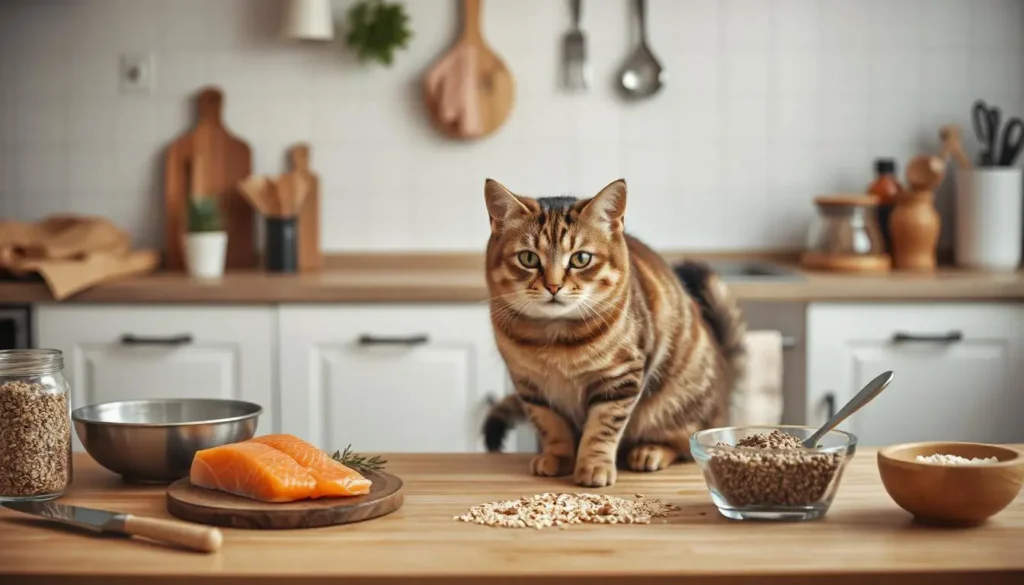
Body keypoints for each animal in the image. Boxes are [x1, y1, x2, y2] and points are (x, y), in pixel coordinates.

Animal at [479, 179, 745, 489]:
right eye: (528, 258)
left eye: (581, 258)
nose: (554, 286)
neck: (555, 338)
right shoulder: (530, 387)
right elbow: (551, 426)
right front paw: (557, 458)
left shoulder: (620, 379)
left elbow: (602, 428)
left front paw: (594, 466)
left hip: (677, 404)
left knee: (681, 443)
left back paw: (649, 452)